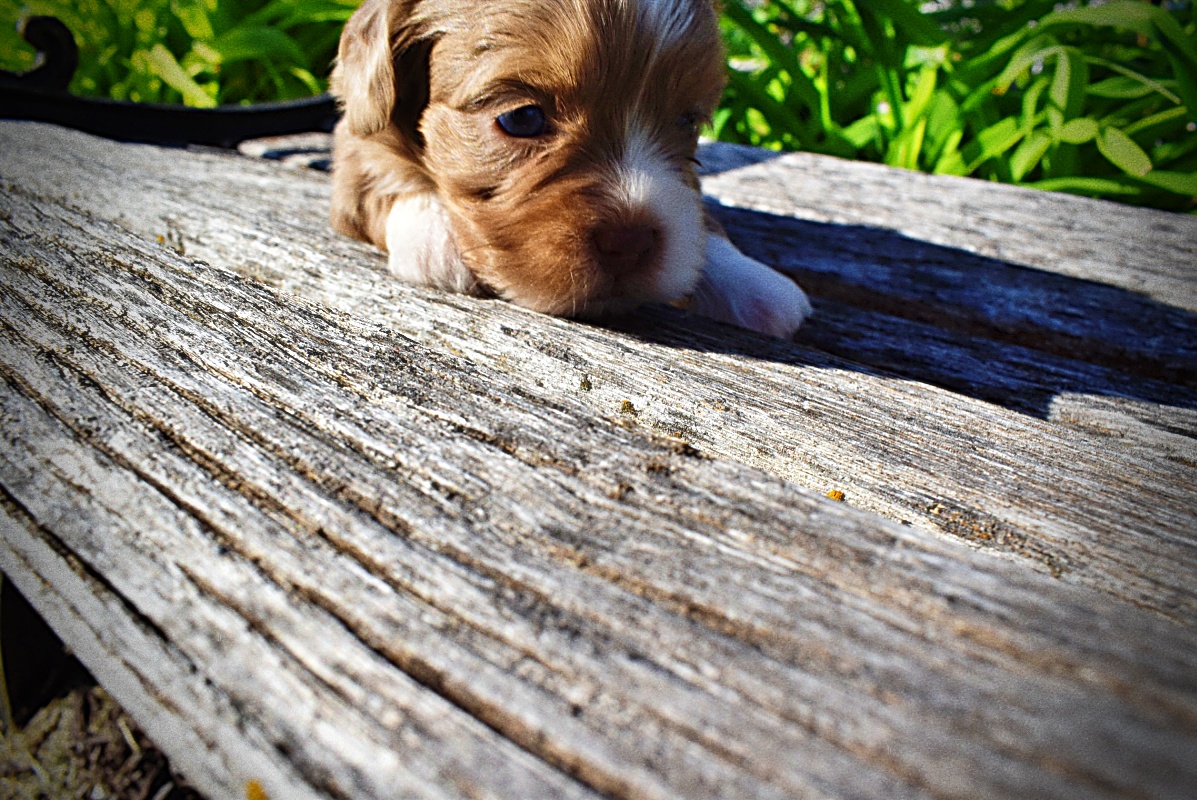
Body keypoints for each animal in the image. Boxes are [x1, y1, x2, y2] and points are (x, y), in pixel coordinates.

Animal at [329, 0, 812, 338]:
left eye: (688, 121)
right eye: (522, 118)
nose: (630, 244)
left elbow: (700, 218)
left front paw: (752, 283)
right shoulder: (354, 140)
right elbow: (384, 175)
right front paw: (438, 239)